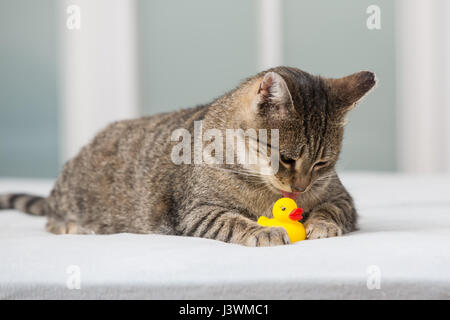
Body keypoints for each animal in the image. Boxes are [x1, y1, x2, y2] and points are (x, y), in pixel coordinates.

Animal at [0, 66, 376, 246]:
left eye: (322, 163)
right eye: (285, 158)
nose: (299, 188)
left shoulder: (341, 197)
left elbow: (331, 209)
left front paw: (321, 224)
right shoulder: (196, 212)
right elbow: (231, 220)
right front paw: (262, 231)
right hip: (70, 197)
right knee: (52, 216)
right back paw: (71, 226)